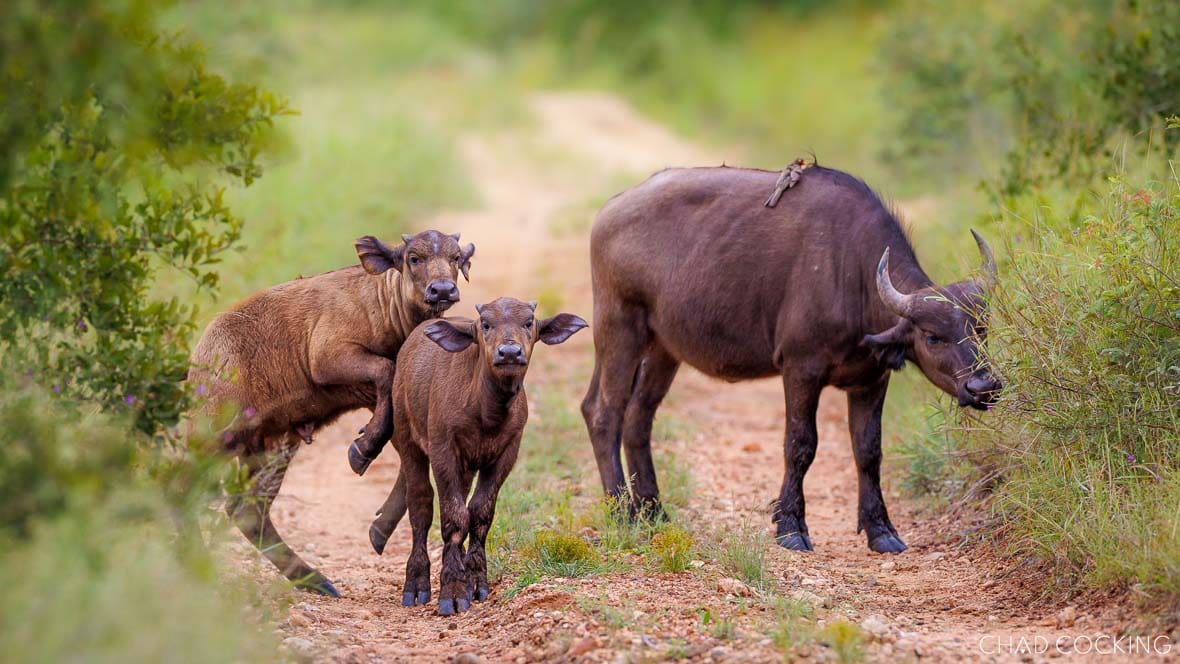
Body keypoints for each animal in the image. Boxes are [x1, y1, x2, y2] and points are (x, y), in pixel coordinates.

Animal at [189, 230, 474, 595]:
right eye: (414, 257)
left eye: (456, 257)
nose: (442, 290)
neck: (383, 302)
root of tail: (200, 356)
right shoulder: (331, 359)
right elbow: (384, 370)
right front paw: (362, 452)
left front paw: (378, 529)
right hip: (216, 434)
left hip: (271, 446)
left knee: (247, 509)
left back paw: (317, 581)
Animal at [581, 165, 1001, 554]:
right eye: (932, 336)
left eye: (981, 328)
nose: (983, 387)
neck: (851, 272)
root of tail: (610, 211)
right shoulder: (801, 369)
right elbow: (800, 445)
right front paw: (791, 526)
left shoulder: (872, 379)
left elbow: (868, 451)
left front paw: (881, 530)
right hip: (619, 327)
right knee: (604, 412)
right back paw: (621, 512)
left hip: (663, 348)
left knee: (638, 417)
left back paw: (652, 511)